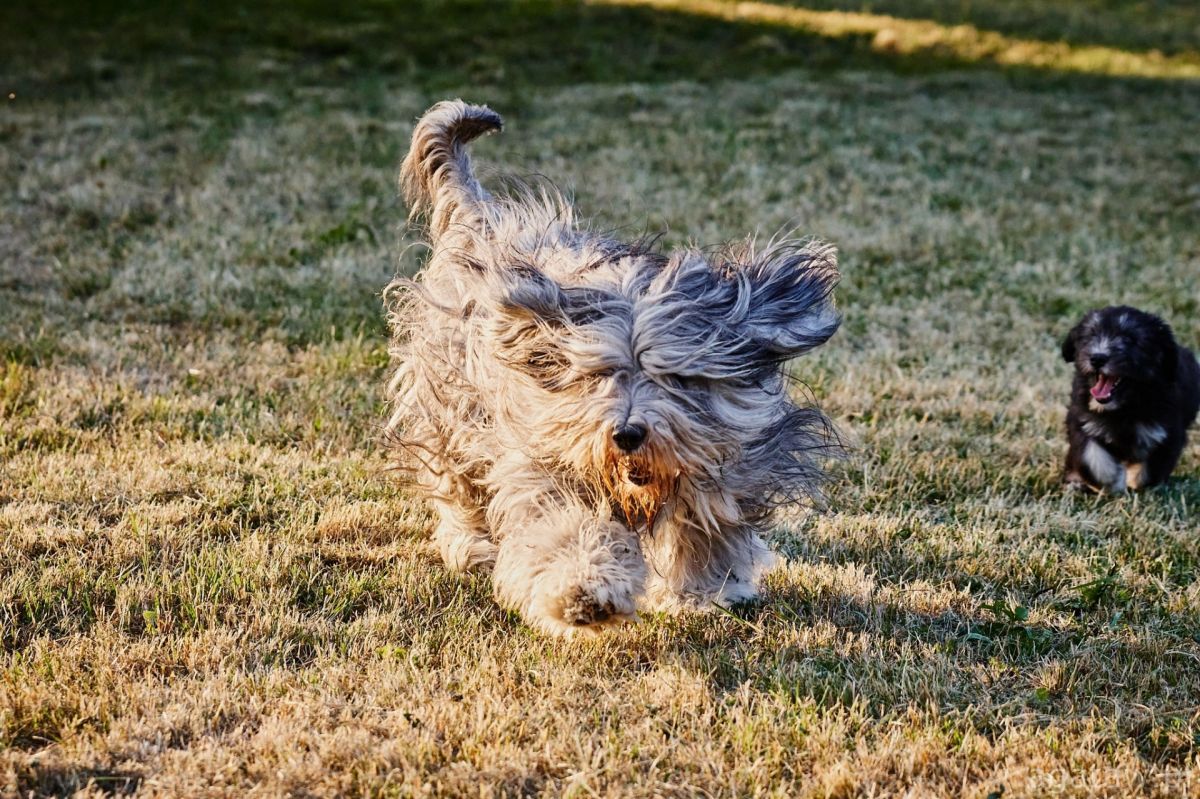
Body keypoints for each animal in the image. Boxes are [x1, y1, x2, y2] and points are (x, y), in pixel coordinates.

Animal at [385, 100, 842, 635]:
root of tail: (479, 217)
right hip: (451, 406)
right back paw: (472, 546)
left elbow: (705, 529)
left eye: (675, 377)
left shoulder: (725, 471)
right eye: (602, 374)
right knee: (458, 486)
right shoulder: (542, 462)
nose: (627, 434)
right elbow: (565, 528)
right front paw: (584, 593)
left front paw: (706, 592)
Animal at [1061, 305, 1200, 493]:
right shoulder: (1082, 421)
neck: (1124, 409)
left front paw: (1133, 483)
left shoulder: (1167, 433)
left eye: (1129, 339)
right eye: (1091, 335)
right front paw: (1113, 480)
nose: (1097, 358)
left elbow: (1148, 471)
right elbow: (1092, 457)